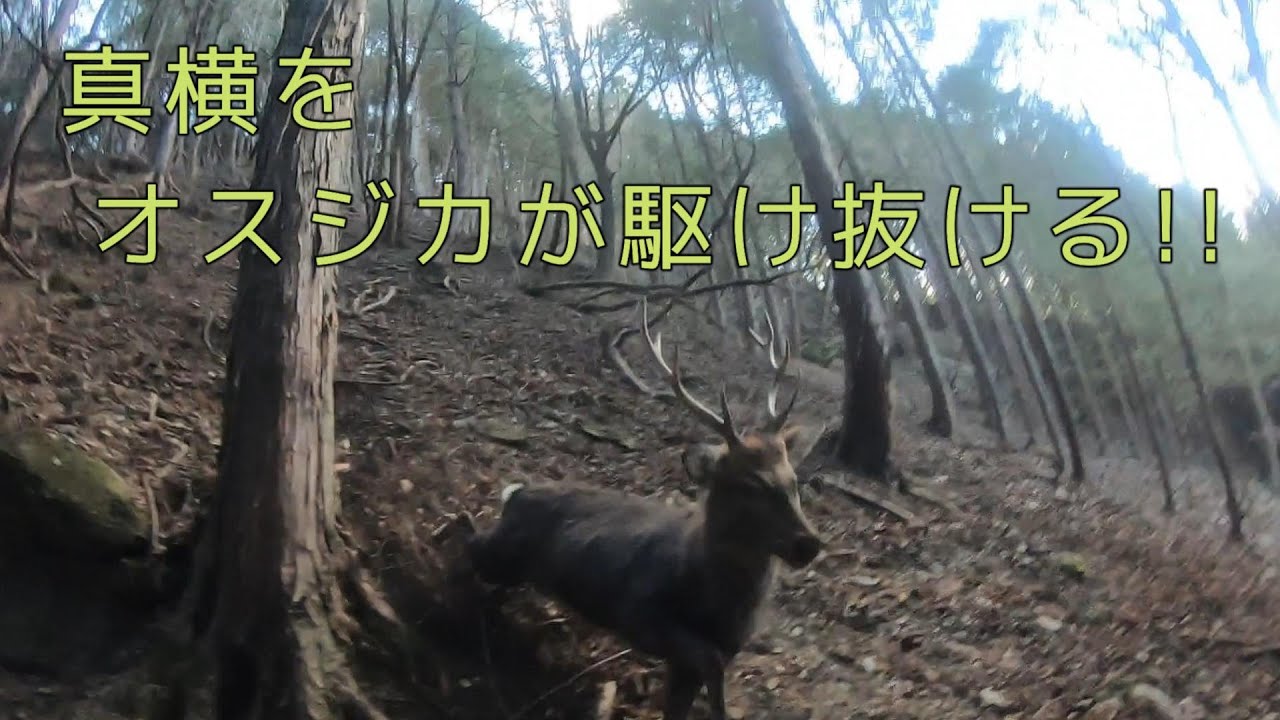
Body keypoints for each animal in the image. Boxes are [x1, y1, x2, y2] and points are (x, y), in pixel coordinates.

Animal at [460, 299, 824, 720]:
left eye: (793, 480)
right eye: (750, 484)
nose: (807, 543)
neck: (715, 603)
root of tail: (517, 493)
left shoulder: (706, 655)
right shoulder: (638, 608)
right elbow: (711, 663)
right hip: (505, 551)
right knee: (470, 543)